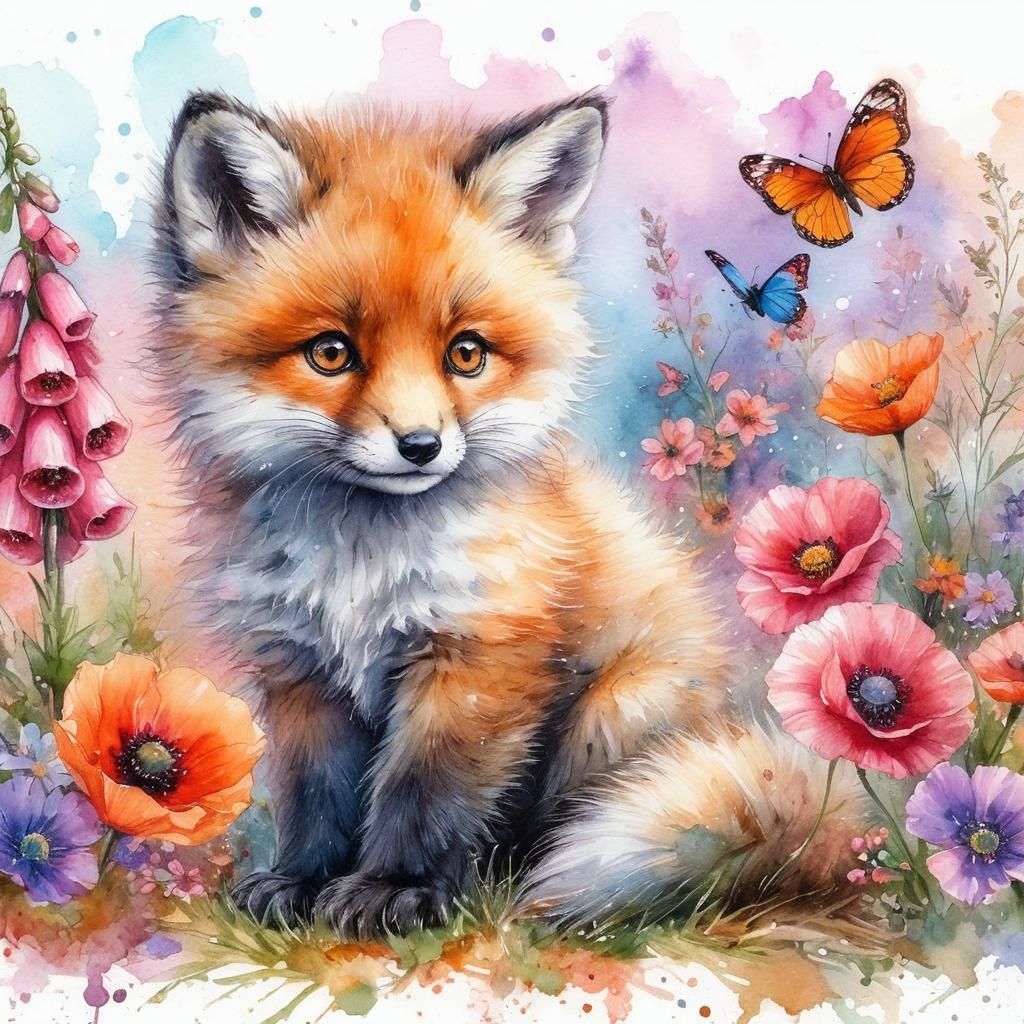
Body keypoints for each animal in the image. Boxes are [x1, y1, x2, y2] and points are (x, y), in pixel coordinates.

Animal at [150, 90, 862, 940]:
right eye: (330, 353)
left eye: (466, 354)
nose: (420, 445)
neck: (362, 562)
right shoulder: (301, 669)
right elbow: (315, 795)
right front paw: (304, 881)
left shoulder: (478, 657)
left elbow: (424, 788)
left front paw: (396, 887)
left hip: (614, 714)